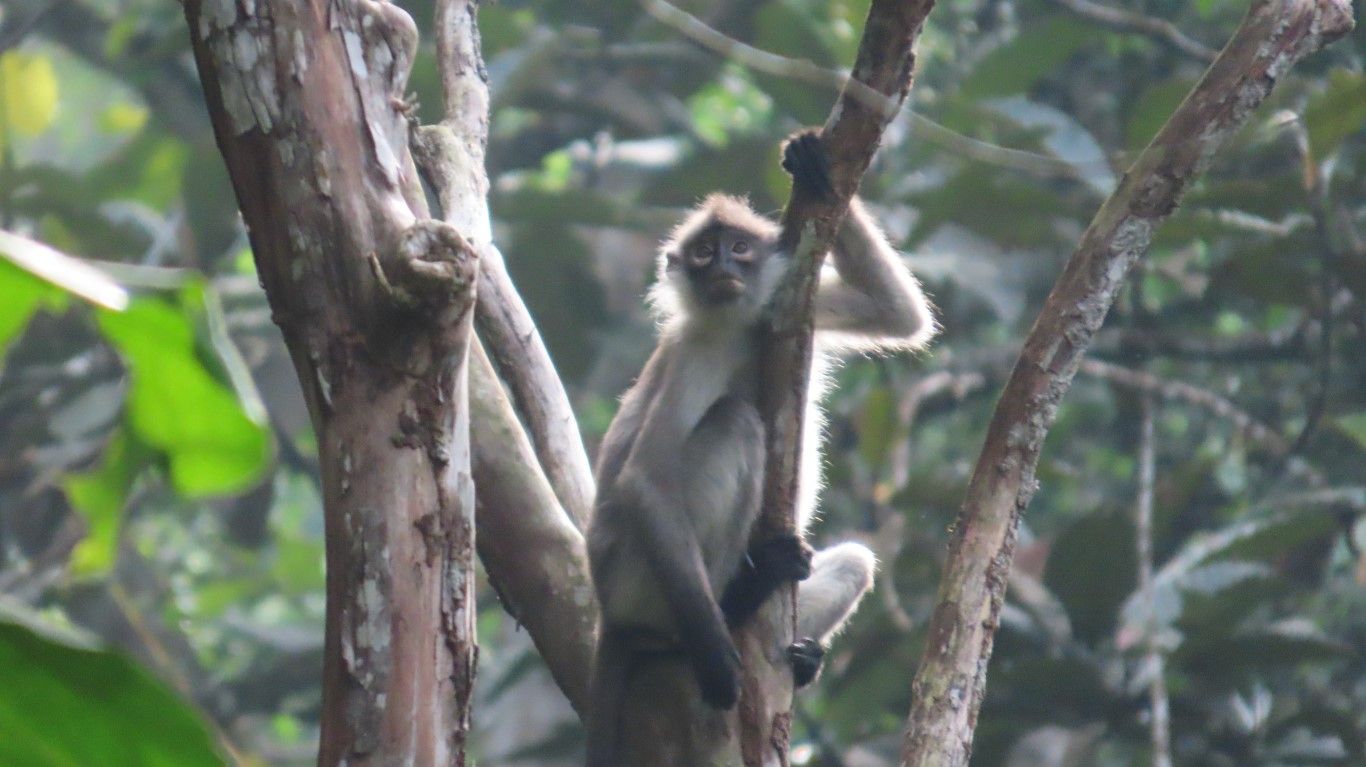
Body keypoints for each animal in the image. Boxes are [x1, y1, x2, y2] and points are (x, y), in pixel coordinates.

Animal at [585, 130, 937, 766]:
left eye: (740, 249)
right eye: (705, 252)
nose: (724, 266)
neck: (740, 325)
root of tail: (608, 613)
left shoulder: (785, 308)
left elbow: (901, 315)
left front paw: (811, 161)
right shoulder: (703, 344)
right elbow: (645, 477)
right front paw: (717, 661)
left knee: (855, 560)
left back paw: (799, 655)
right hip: (640, 583)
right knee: (734, 423)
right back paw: (731, 607)